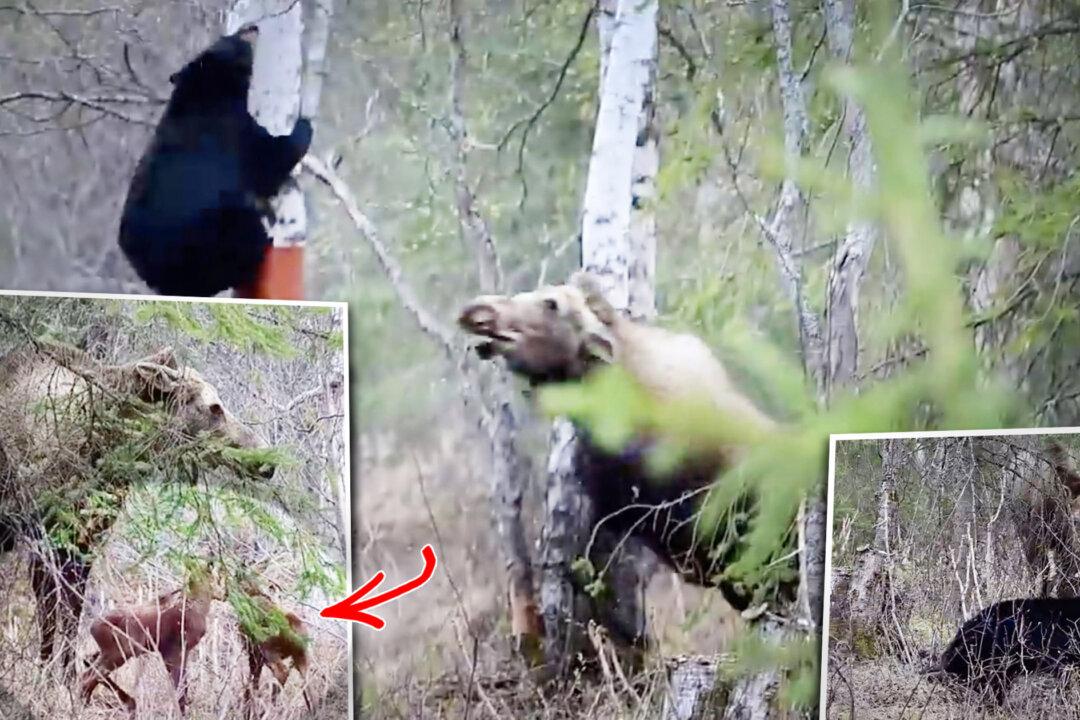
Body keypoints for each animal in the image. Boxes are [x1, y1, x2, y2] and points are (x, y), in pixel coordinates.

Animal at [0, 341, 275, 674]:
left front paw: (65, 674)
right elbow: (50, 610)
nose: (268, 462)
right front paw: (47, 671)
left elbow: (71, 609)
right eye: (214, 407)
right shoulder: (44, 532)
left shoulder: (84, 540)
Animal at [118, 25, 313, 297]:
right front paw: (304, 126)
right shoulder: (232, 128)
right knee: (241, 233)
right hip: (210, 234)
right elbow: (269, 159)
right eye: (232, 38)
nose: (252, 27)